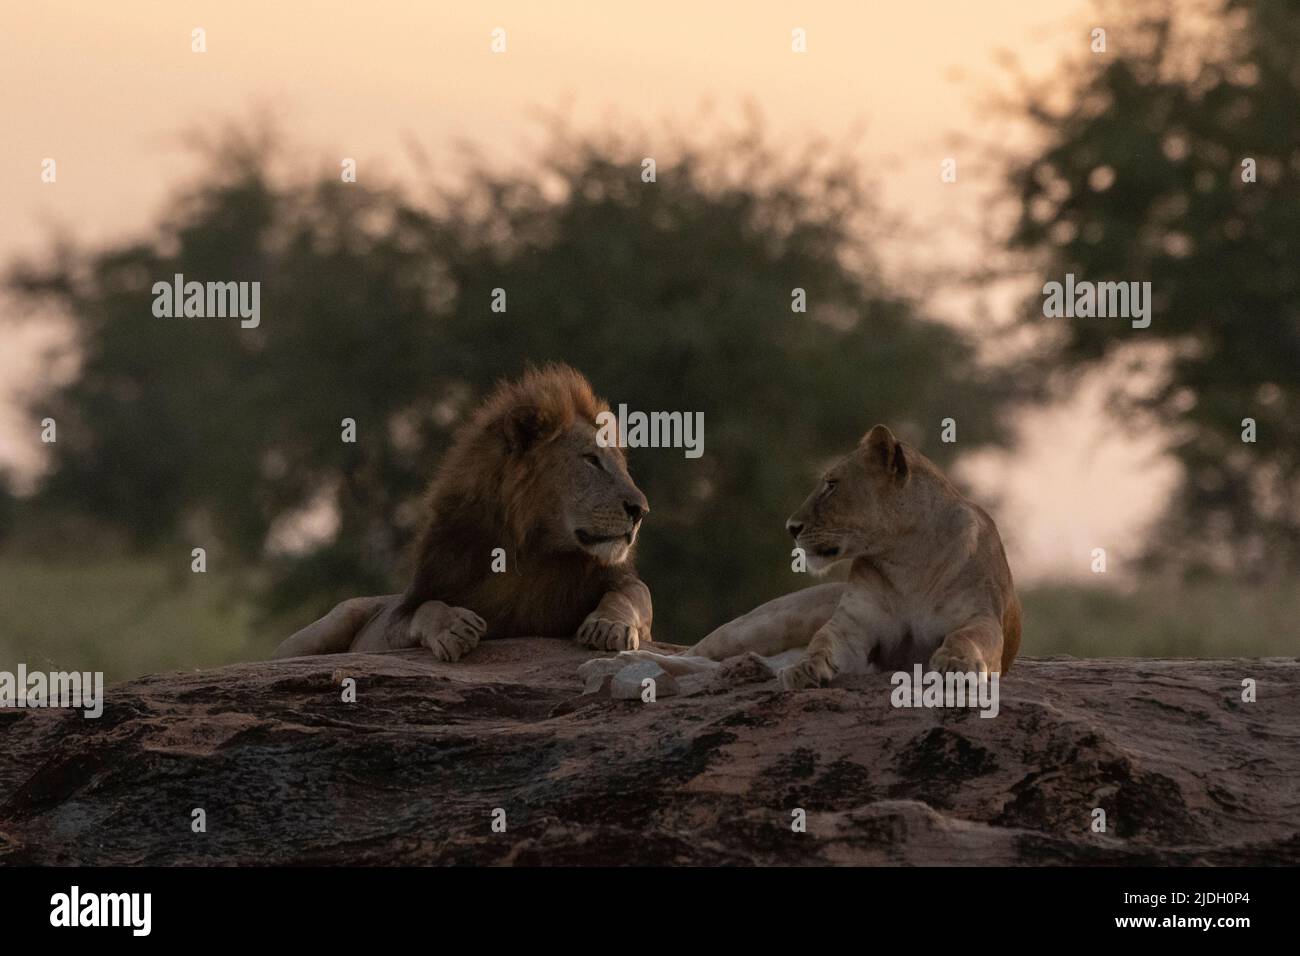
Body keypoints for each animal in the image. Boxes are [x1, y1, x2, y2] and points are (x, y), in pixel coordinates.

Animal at [272, 364, 652, 662]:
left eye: (620, 463)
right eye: (591, 460)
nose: (641, 510)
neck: (533, 548)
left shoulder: (619, 585)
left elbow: (631, 594)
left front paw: (609, 625)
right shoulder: (396, 618)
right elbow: (425, 608)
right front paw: (453, 627)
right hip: (327, 625)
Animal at [587, 424, 1019, 689]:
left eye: (831, 485)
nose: (791, 527)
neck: (905, 557)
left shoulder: (981, 618)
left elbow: (969, 636)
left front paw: (958, 664)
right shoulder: (852, 627)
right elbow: (823, 642)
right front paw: (807, 669)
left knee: (709, 665)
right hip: (766, 621)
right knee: (695, 655)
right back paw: (609, 664)